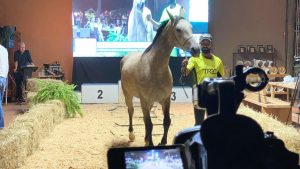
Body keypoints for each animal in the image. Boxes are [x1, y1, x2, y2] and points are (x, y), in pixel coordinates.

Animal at [119, 12, 199, 146]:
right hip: (128, 96)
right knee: (131, 111)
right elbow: (150, 124)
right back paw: (131, 134)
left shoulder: (165, 100)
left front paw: (162, 142)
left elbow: (166, 121)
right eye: (178, 29)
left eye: (191, 27)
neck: (154, 69)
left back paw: (146, 138)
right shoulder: (145, 100)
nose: (196, 49)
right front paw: (151, 144)